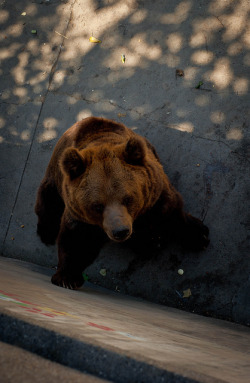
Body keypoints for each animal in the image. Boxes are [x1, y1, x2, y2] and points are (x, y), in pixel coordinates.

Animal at [34, 117, 209, 288]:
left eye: (128, 198)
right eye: (97, 206)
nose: (120, 231)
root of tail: (85, 119)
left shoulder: (156, 197)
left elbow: (172, 214)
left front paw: (199, 236)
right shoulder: (80, 217)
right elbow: (76, 241)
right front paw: (67, 277)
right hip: (55, 175)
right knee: (47, 199)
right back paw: (46, 232)